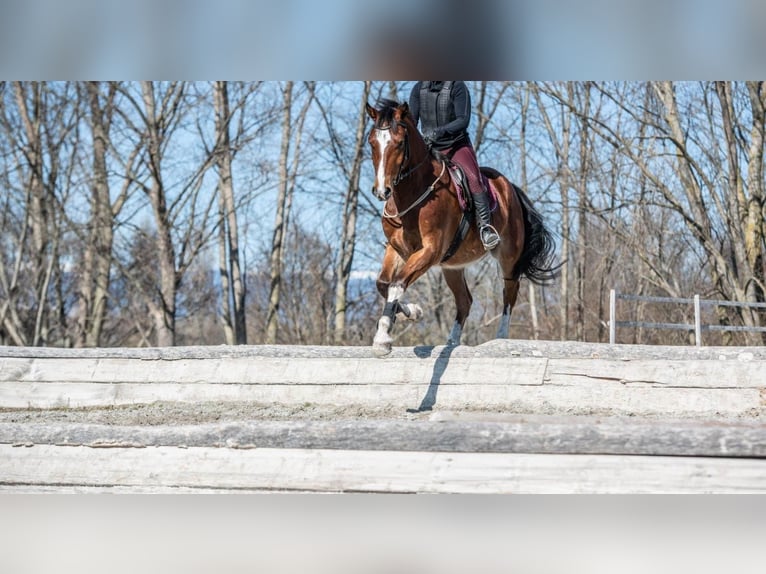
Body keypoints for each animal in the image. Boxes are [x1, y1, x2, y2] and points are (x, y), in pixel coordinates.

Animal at [366, 100, 560, 360]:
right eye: (372, 142)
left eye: (398, 143)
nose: (381, 191)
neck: (411, 195)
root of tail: (511, 188)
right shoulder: (396, 249)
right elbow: (383, 284)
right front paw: (413, 311)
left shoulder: (430, 250)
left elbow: (397, 283)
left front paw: (383, 339)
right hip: (452, 267)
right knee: (464, 301)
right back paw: (451, 342)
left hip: (508, 256)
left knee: (510, 291)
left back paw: (501, 338)